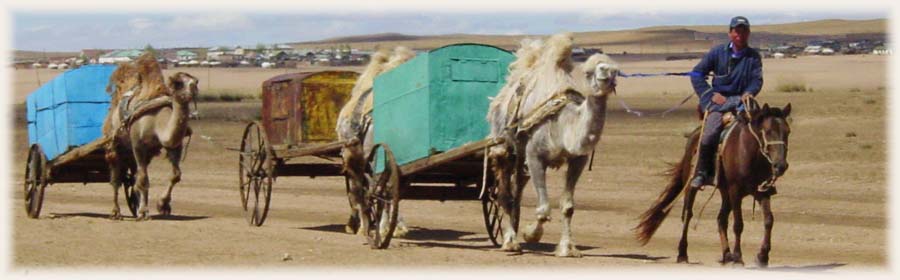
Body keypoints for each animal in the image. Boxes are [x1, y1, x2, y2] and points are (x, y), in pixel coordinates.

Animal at [486, 32, 620, 256]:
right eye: (587, 72)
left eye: (616, 70)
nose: (605, 72)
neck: (564, 126)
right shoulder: (534, 155)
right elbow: (543, 208)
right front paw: (531, 234)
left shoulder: (578, 160)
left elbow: (568, 207)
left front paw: (567, 248)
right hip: (503, 146)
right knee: (505, 193)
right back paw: (510, 242)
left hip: (520, 160)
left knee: (517, 192)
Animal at [636, 100, 792, 266]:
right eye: (768, 131)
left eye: (787, 131)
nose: (781, 166)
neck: (750, 154)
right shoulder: (735, 191)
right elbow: (738, 224)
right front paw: (738, 257)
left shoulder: (762, 191)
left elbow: (769, 220)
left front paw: (762, 257)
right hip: (692, 187)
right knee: (688, 215)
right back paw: (683, 254)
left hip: (725, 191)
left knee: (721, 219)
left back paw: (727, 255)